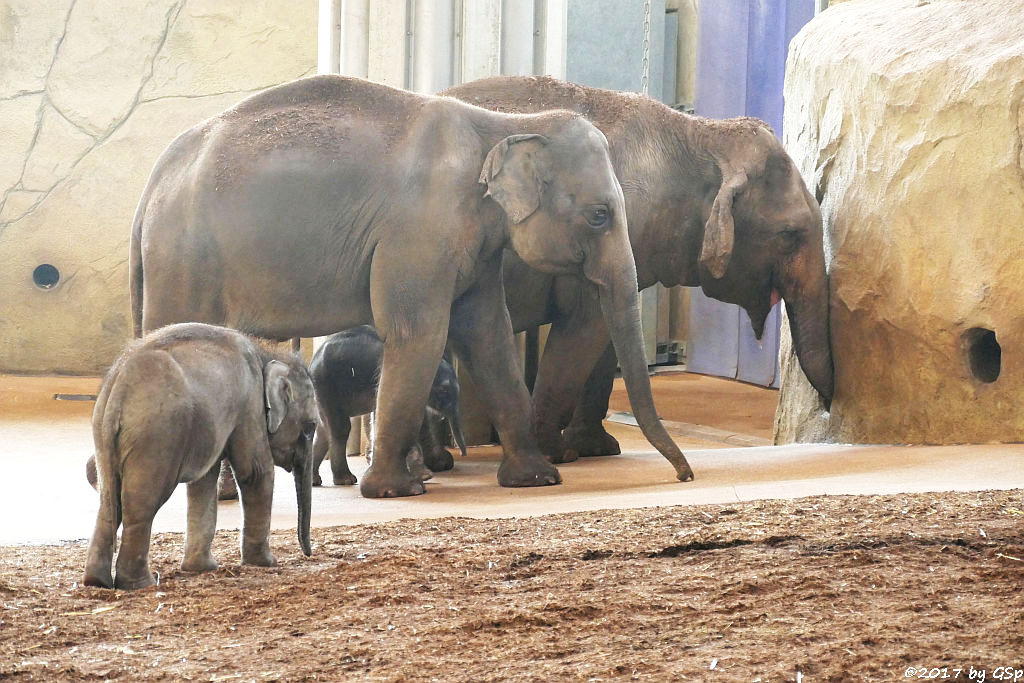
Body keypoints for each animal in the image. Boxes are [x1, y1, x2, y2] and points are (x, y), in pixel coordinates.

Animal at [81, 323, 315, 589]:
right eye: (309, 428)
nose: (308, 554)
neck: (264, 353)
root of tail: (118, 389)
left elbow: (205, 481)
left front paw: (202, 568)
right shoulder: (250, 404)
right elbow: (254, 472)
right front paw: (266, 563)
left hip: (104, 435)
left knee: (110, 502)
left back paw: (97, 581)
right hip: (158, 435)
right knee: (141, 504)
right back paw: (142, 583)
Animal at [307, 327, 468, 489]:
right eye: (443, 391)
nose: (462, 453)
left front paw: (424, 476)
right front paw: (425, 476)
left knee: (323, 432)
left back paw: (315, 481)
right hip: (325, 386)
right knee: (339, 428)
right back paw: (346, 480)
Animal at [444, 74, 835, 462]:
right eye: (789, 235)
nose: (829, 406)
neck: (698, 133)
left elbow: (606, 340)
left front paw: (596, 448)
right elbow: (584, 331)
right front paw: (559, 454)